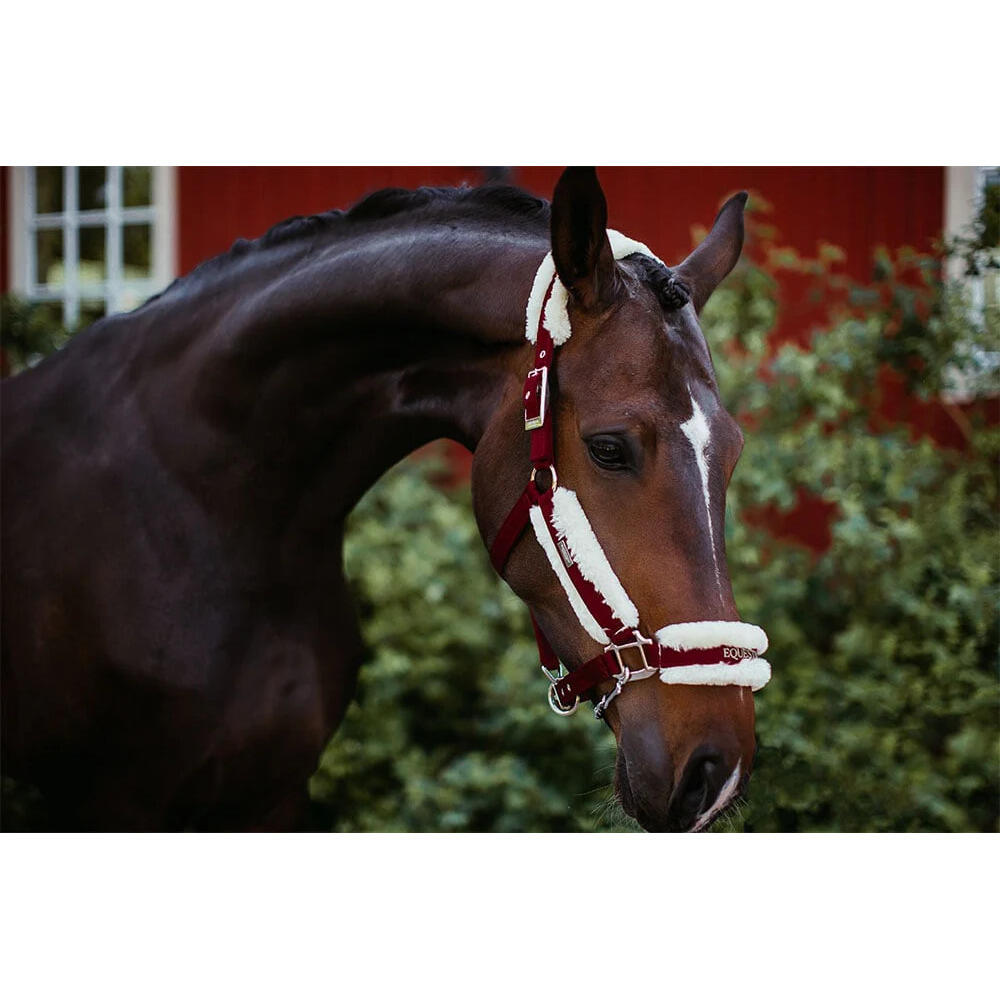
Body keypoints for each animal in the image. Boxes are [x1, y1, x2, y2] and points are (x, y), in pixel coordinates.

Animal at [1, 167, 770, 832]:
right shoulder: (119, 804)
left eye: (733, 452)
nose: (716, 771)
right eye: (610, 448)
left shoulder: (273, 796)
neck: (209, 511)